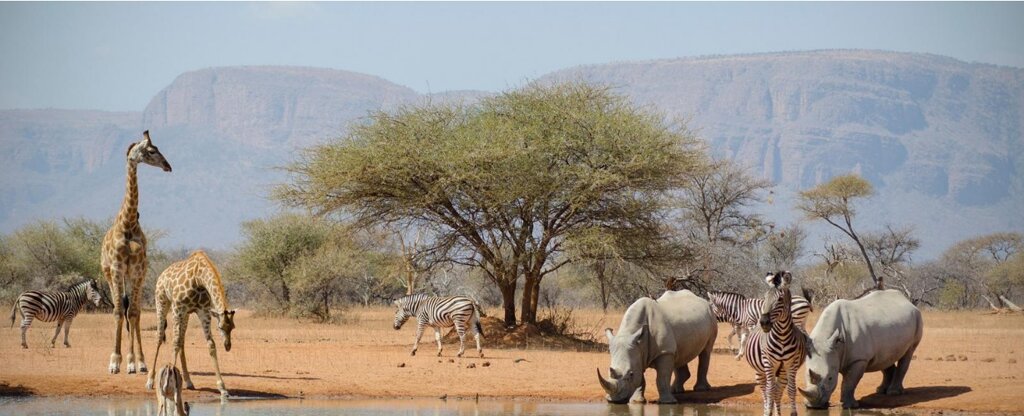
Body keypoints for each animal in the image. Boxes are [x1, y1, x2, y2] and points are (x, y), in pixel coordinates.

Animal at [100, 130, 171, 372]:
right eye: (151, 151)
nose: (168, 166)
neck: (129, 223)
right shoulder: (117, 269)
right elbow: (118, 311)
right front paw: (115, 361)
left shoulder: (139, 270)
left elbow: (134, 313)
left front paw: (136, 362)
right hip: (110, 274)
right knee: (120, 309)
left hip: (133, 276)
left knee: (133, 312)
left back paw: (135, 361)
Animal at [147, 248, 236, 397]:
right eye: (220, 327)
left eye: (233, 327)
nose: (228, 346)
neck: (198, 279)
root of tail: (162, 274)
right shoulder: (178, 308)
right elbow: (174, 343)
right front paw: (168, 384)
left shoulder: (204, 311)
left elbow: (211, 344)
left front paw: (222, 388)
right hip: (162, 302)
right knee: (160, 337)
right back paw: (150, 381)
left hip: (186, 314)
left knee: (182, 341)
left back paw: (188, 381)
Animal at [745, 270, 806, 416]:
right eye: (765, 297)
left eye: (779, 299)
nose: (764, 323)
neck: (782, 337)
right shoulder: (769, 363)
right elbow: (769, 391)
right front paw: (768, 412)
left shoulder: (792, 364)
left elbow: (791, 390)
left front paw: (793, 413)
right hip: (760, 372)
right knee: (766, 391)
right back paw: (767, 410)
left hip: (782, 372)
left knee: (778, 391)